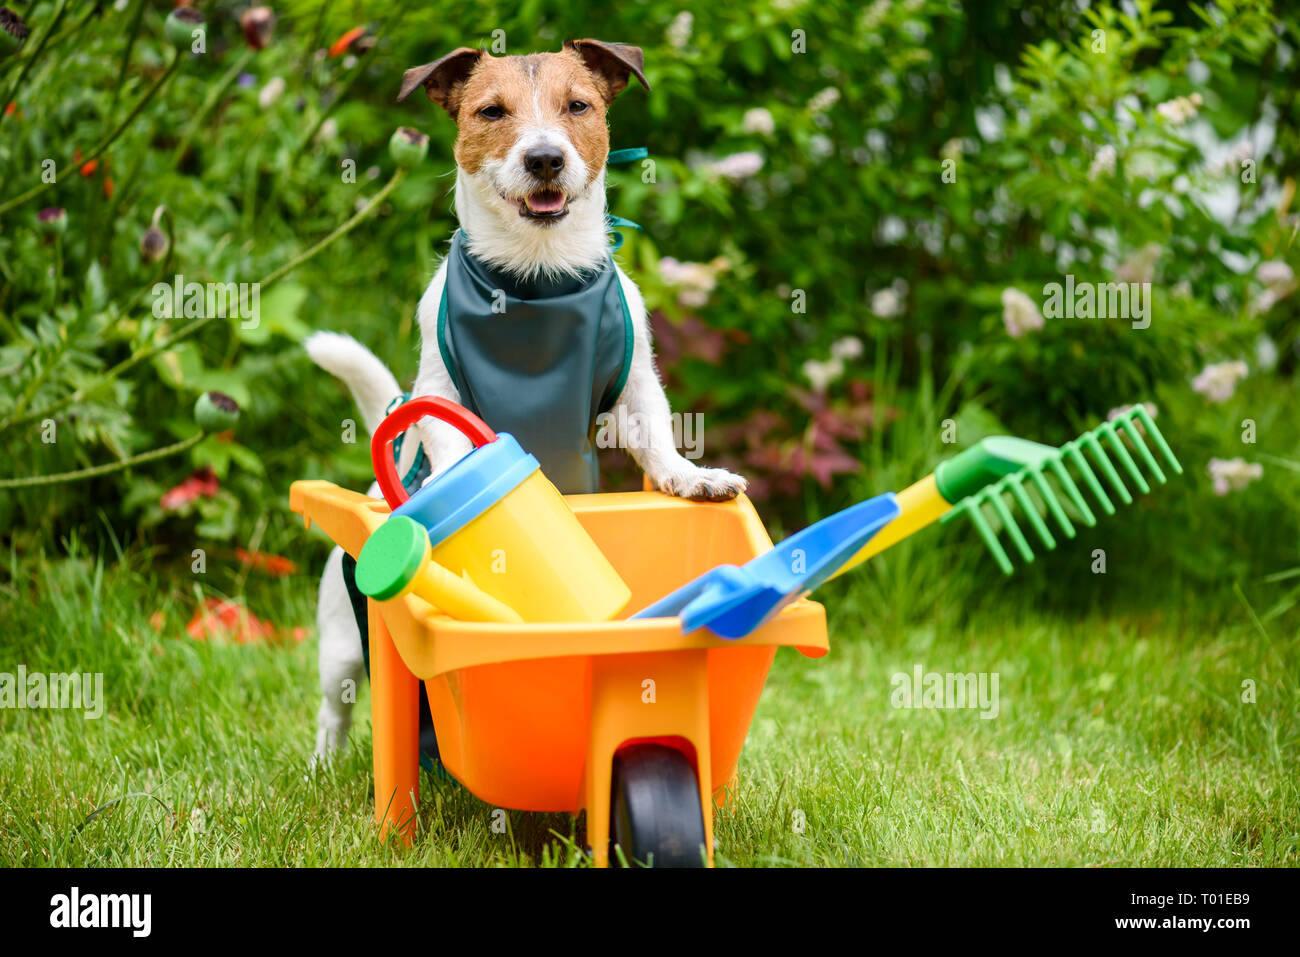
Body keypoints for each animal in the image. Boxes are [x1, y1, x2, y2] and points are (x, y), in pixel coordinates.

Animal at [304, 39, 748, 764]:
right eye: (492, 111)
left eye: (579, 106)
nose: (544, 158)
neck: (537, 277)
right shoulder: (439, 395)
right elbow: (452, 440)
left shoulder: (635, 388)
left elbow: (657, 435)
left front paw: (690, 477)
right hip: (341, 639)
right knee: (334, 706)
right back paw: (323, 761)